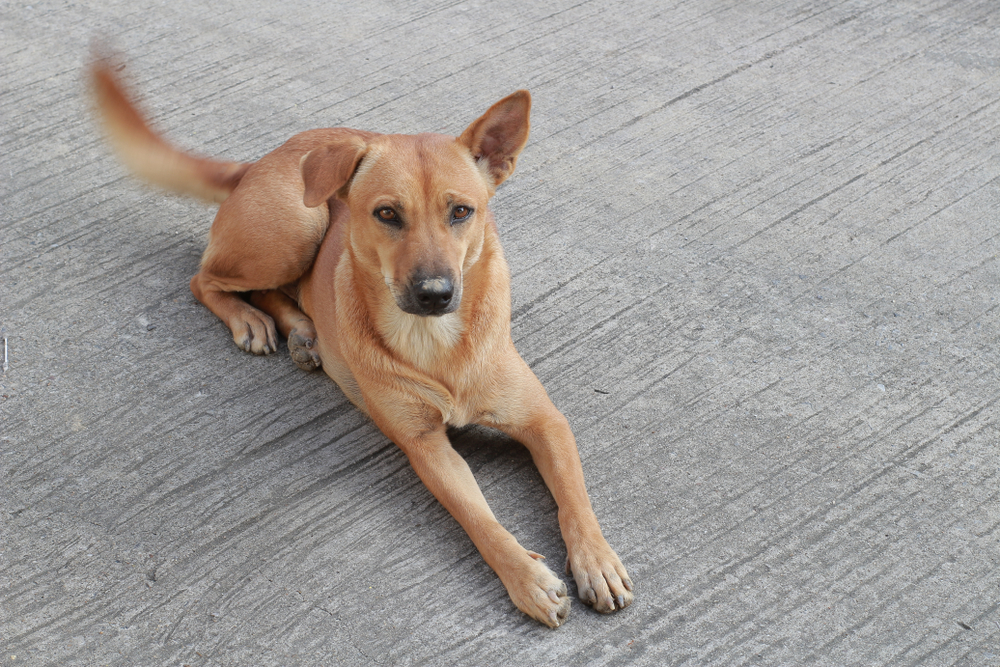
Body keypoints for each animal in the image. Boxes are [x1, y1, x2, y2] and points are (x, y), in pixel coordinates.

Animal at [88, 54, 632, 628]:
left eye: (461, 211)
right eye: (387, 213)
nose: (435, 293)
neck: (434, 341)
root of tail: (260, 161)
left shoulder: (545, 422)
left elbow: (574, 498)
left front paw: (596, 561)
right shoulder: (425, 446)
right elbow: (480, 518)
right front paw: (526, 578)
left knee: (276, 290)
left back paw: (303, 333)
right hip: (296, 225)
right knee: (204, 279)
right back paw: (248, 320)